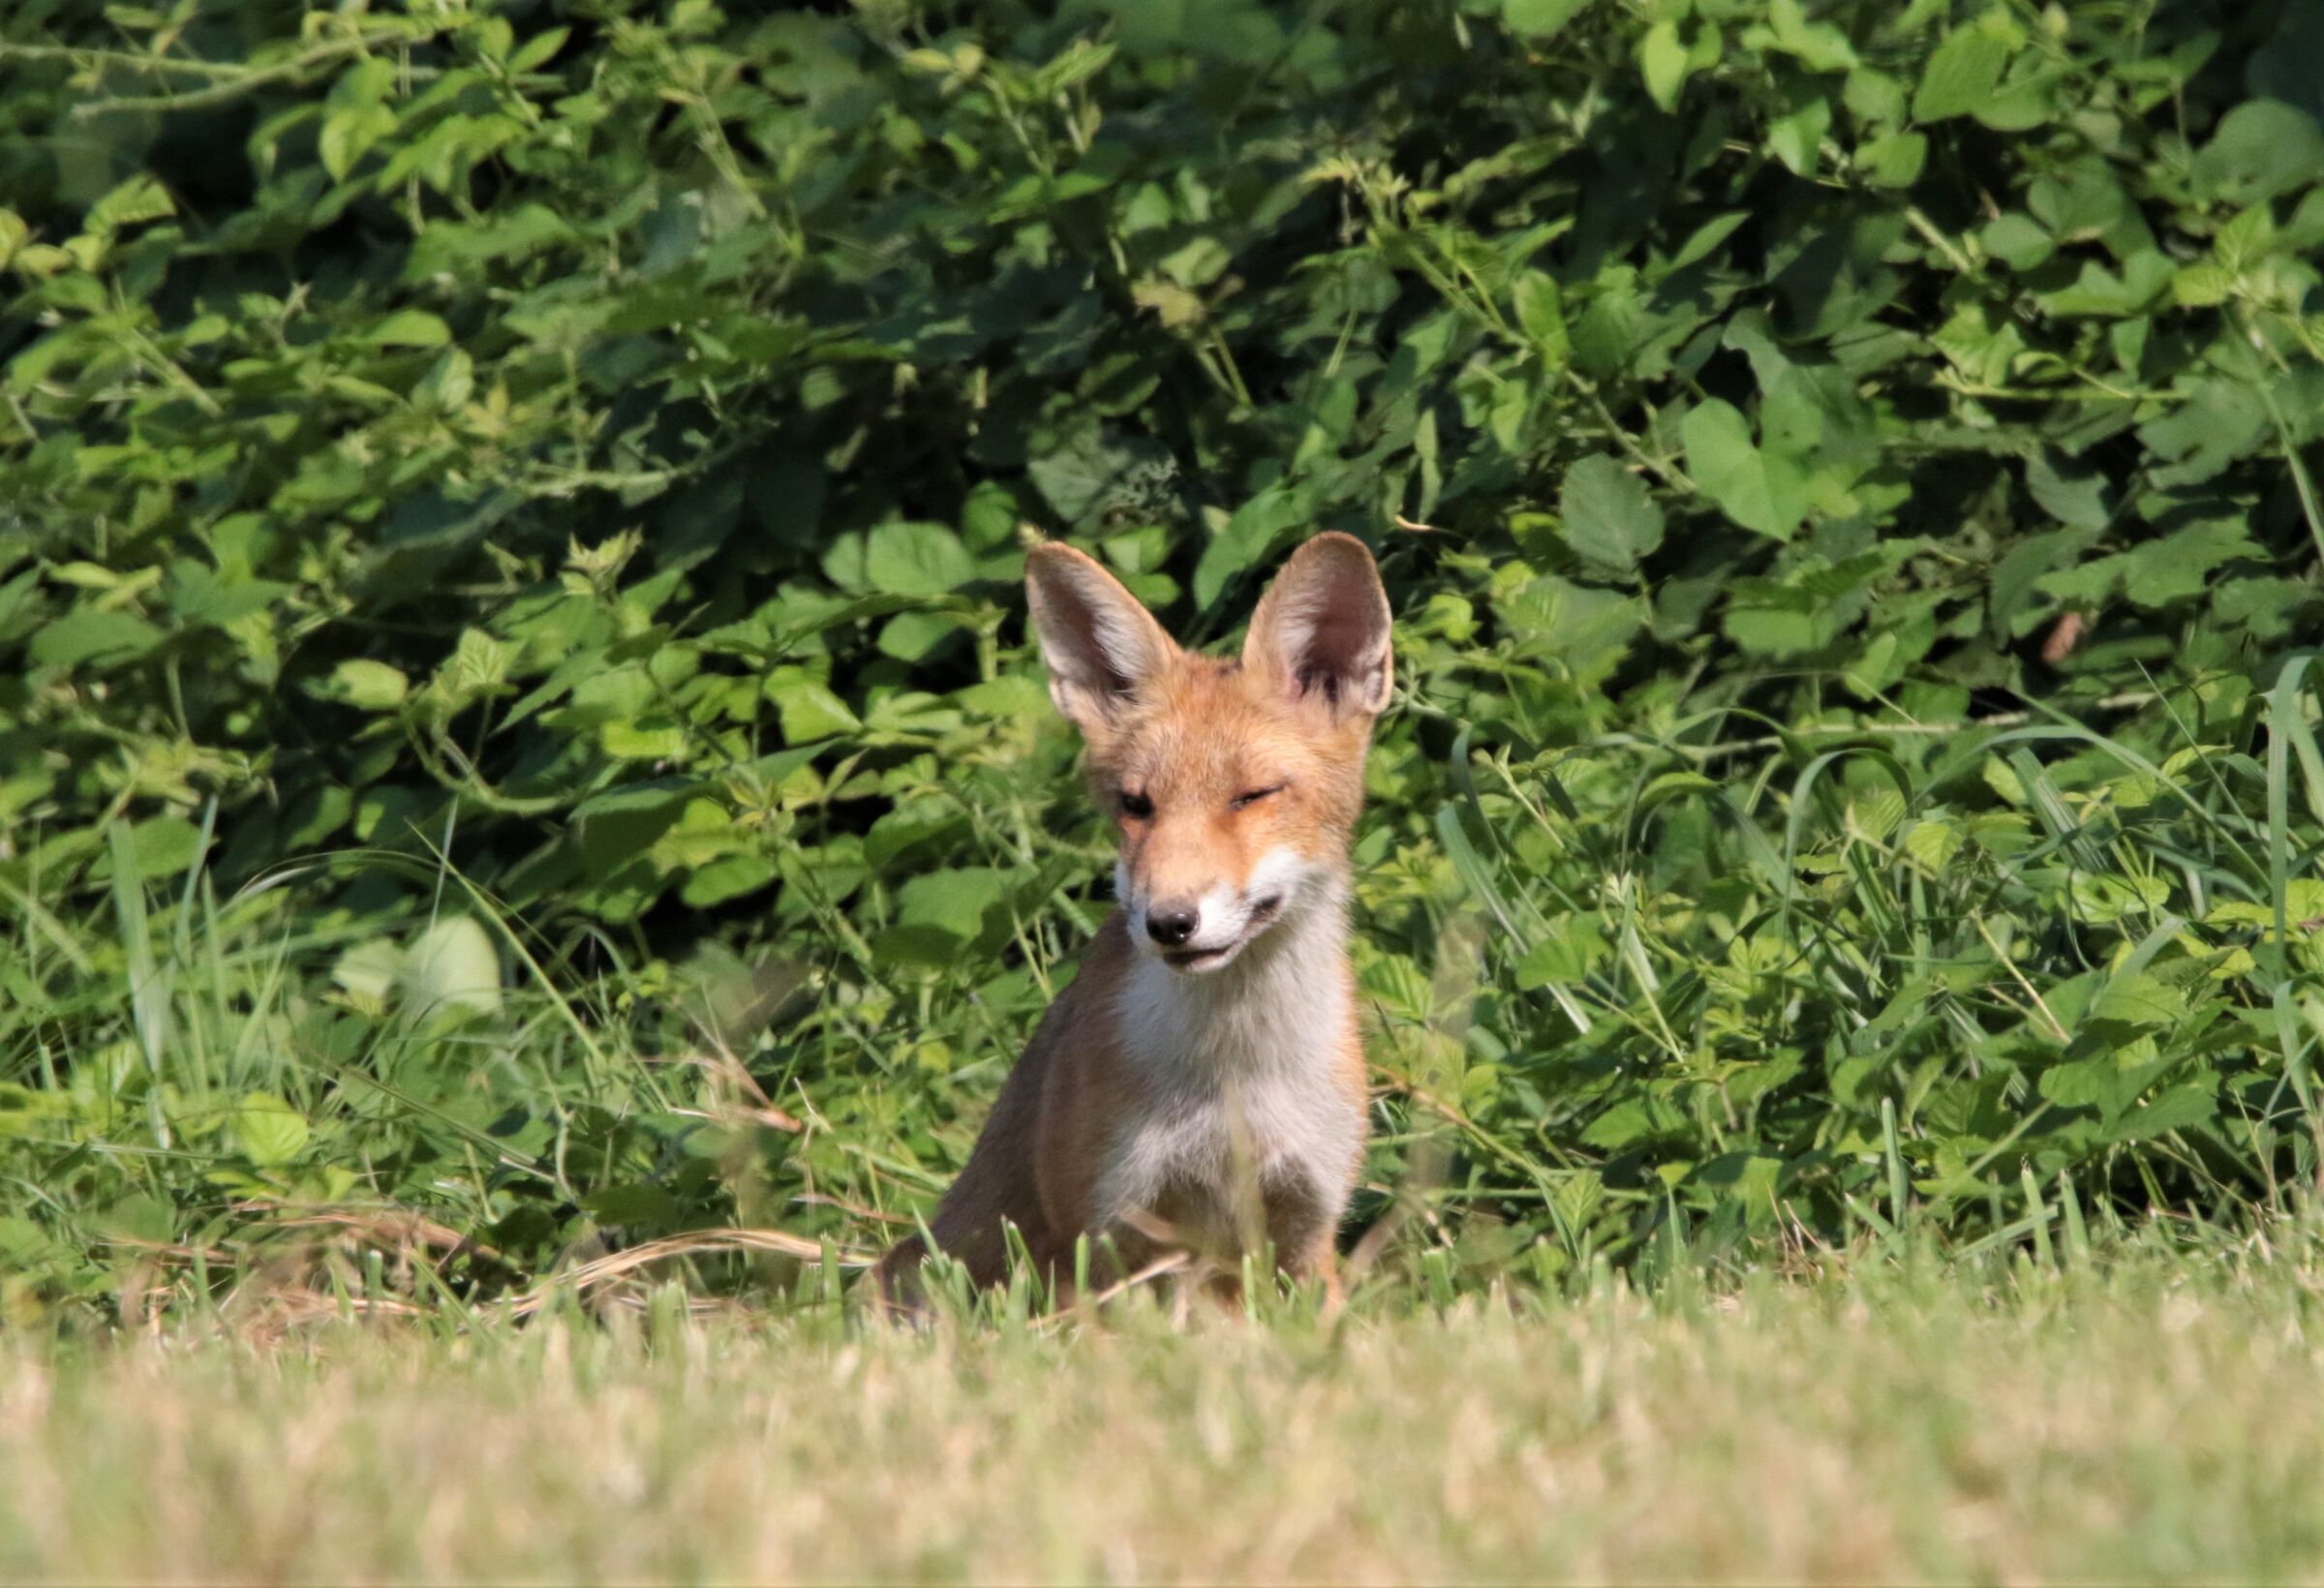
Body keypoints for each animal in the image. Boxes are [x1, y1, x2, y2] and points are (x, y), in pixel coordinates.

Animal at [873, 531, 1395, 1308]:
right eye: (1136, 805)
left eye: (1251, 797)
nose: (1170, 922)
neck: (1232, 1085)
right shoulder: (1103, 1240)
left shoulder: (1308, 1229)